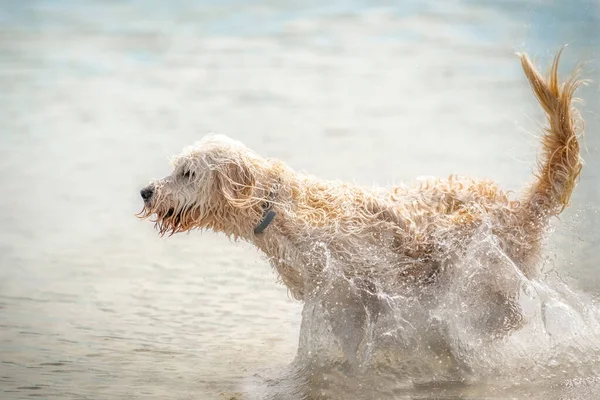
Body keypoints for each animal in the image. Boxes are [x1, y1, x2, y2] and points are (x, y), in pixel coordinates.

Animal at [137, 49, 584, 360]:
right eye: (175, 168)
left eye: (187, 173)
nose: (146, 191)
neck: (278, 209)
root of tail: (521, 207)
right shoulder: (330, 296)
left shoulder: (354, 288)